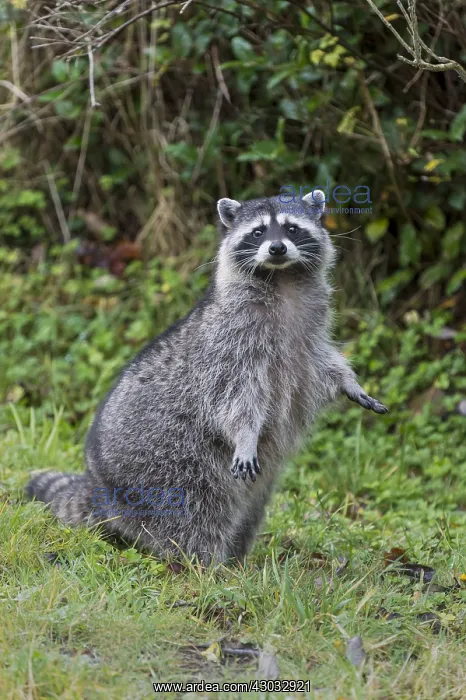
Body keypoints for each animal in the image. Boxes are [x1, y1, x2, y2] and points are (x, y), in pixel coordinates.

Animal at [26, 190, 387, 565]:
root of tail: (101, 487)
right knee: (196, 513)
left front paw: (349, 381)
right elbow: (236, 399)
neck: (281, 278)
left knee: (250, 509)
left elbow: (323, 362)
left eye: (291, 228)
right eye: (258, 232)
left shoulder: (309, 335)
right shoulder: (229, 344)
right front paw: (246, 435)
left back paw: (238, 559)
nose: (277, 249)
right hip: (168, 468)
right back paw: (206, 564)